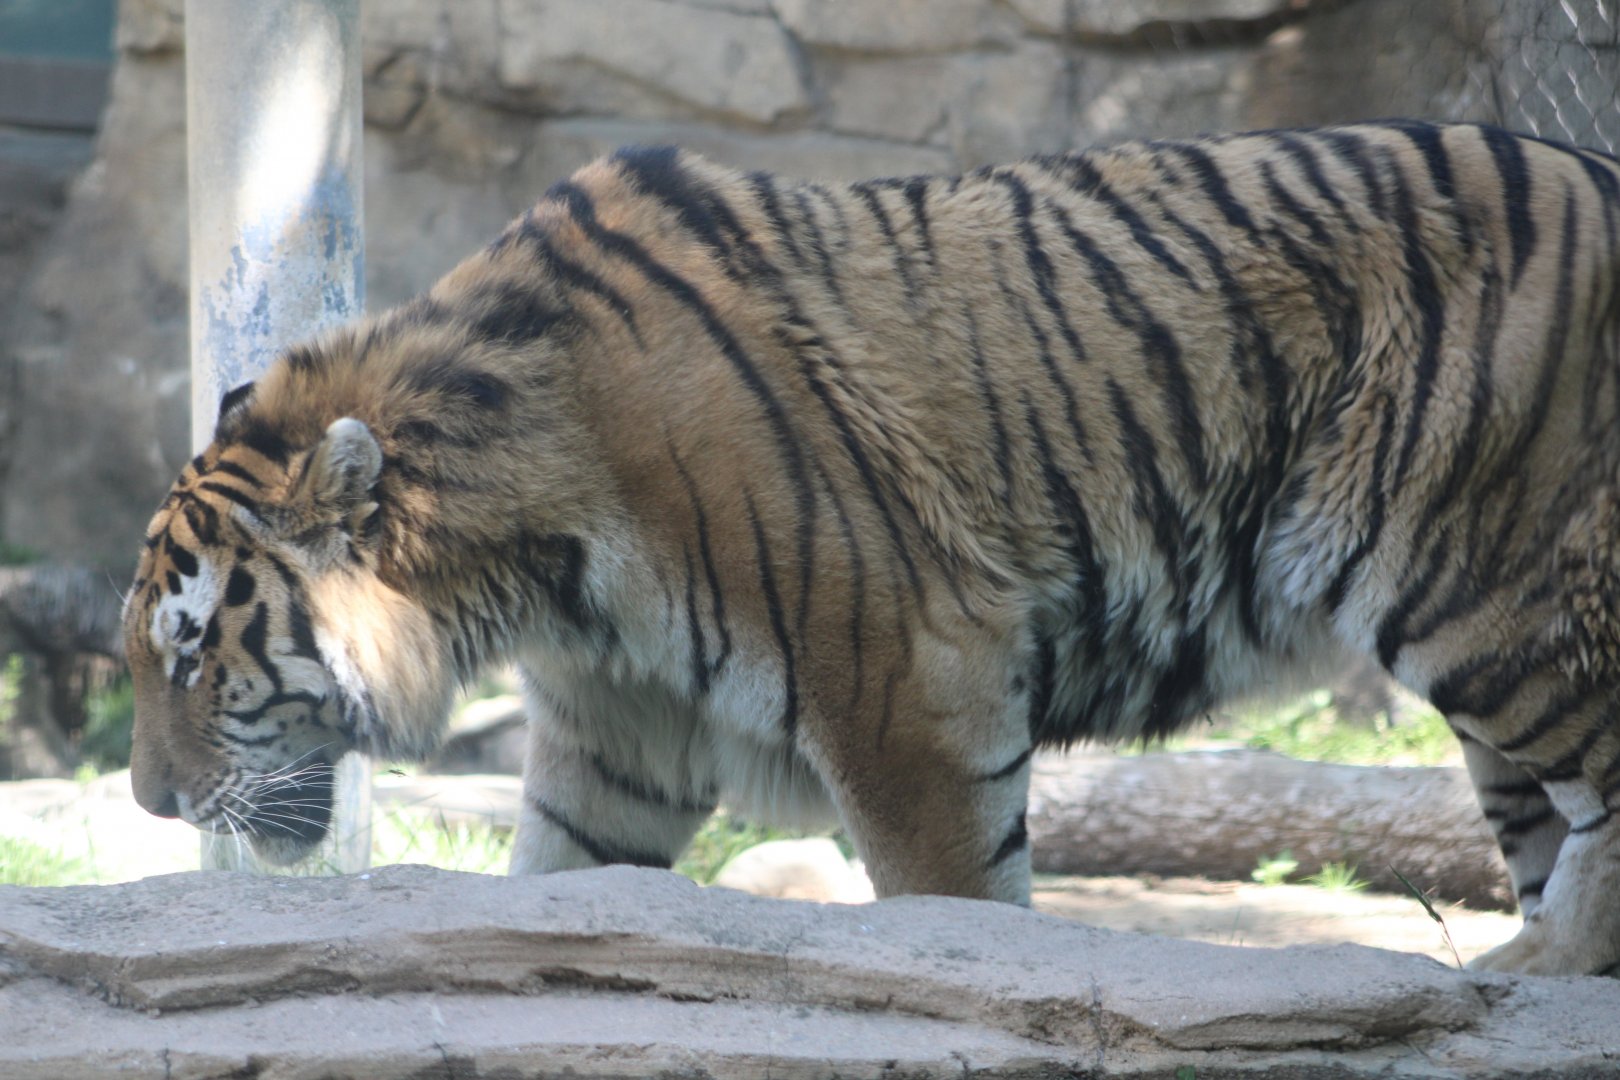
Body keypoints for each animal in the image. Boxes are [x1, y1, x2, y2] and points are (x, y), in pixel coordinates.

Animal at [123, 121, 1620, 976]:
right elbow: (551, 885)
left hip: (1486, 591)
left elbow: (957, 913)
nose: (146, 803)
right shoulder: (618, 739)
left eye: (195, 657)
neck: (532, 560)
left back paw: (1529, 976)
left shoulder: (912, 690)